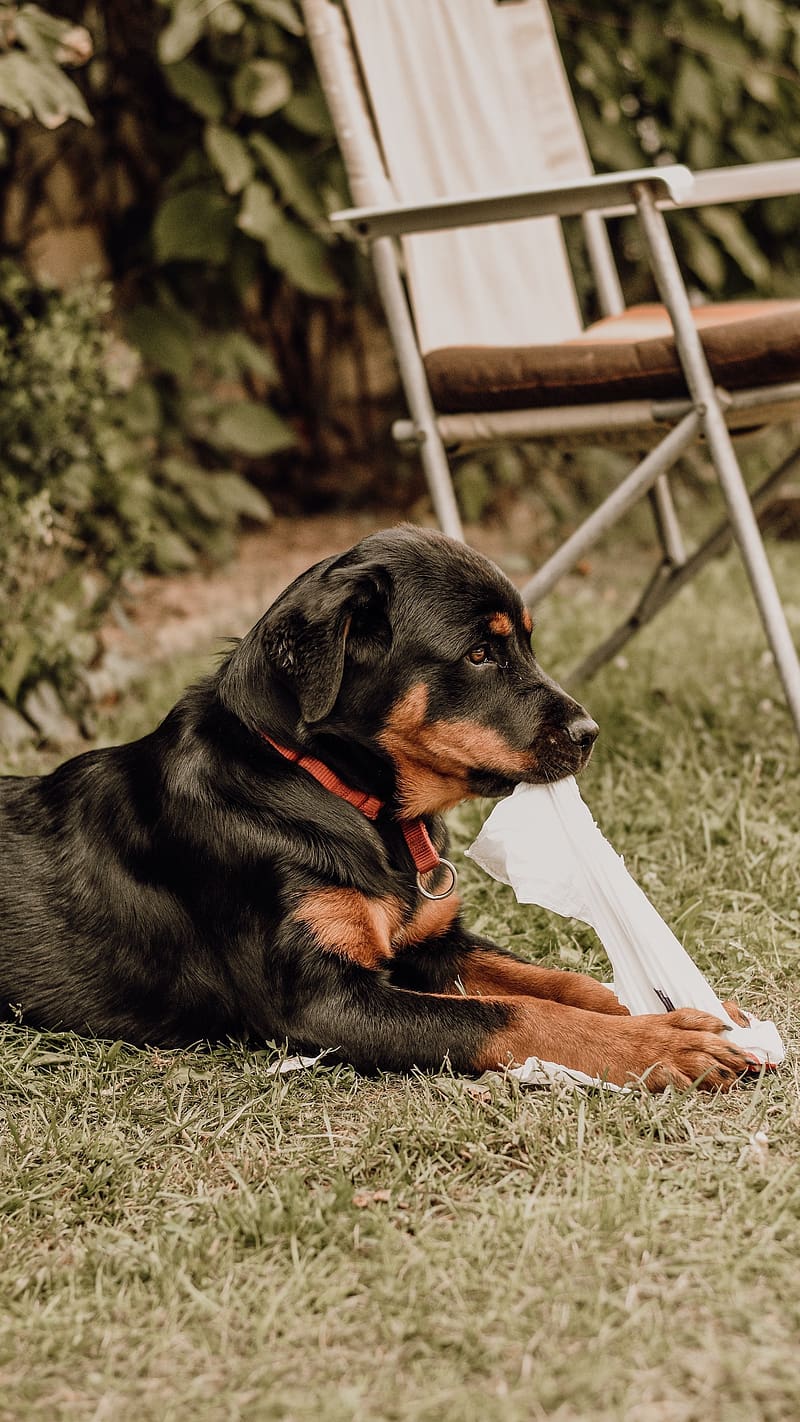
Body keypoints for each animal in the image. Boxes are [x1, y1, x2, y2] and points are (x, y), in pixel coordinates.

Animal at [0, 526, 750, 1086]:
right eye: (479, 653)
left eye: (525, 642)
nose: (589, 734)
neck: (329, 788)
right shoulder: (322, 1001)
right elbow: (512, 1014)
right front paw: (660, 1047)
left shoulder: (433, 942)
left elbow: (558, 981)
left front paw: (690, 1012)